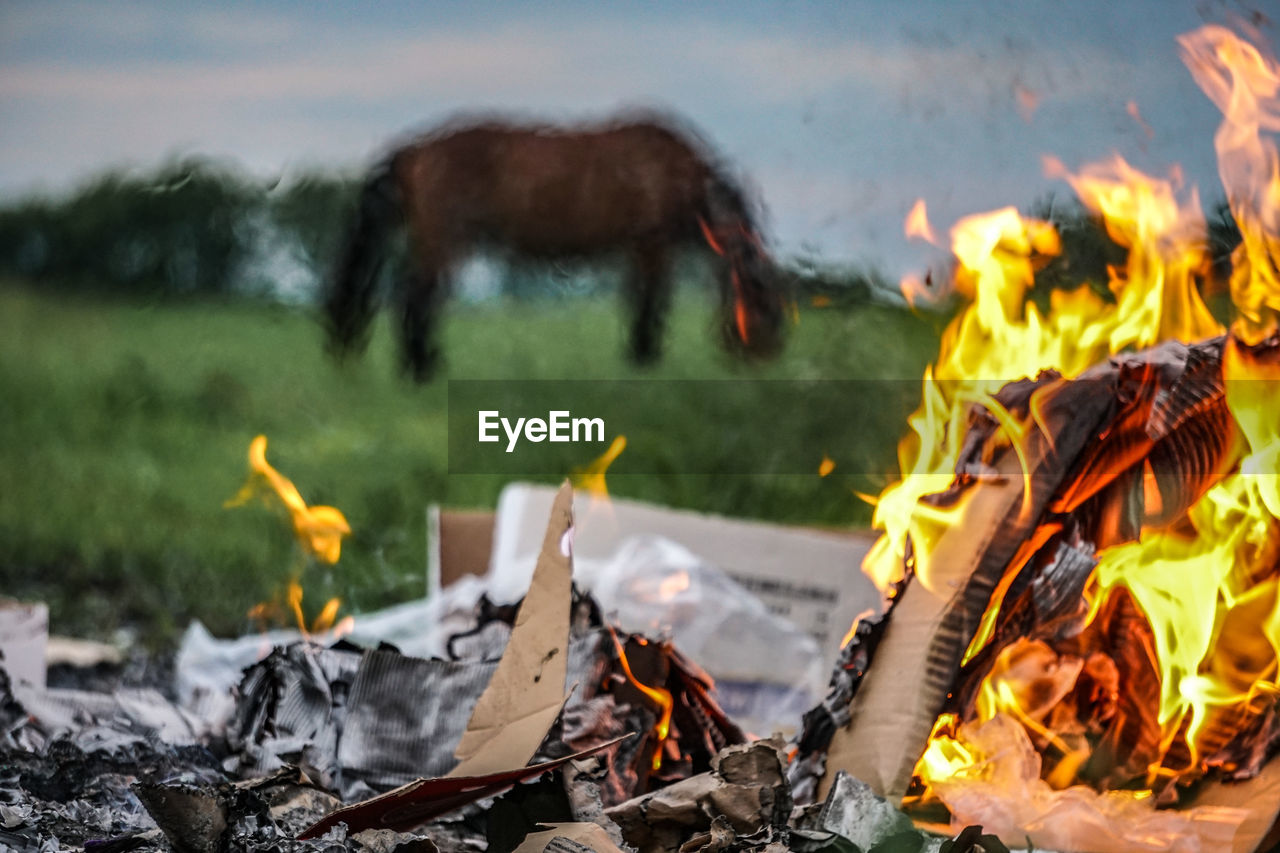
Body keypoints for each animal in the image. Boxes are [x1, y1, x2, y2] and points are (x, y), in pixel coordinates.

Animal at [322, 110, 778, 379]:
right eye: (759, 293)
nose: (764, 354)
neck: (674, 172)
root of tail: (414, 152)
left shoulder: (638, 251)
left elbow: (638, 302)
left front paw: (636, 357)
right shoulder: (653, 247)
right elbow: (652, 304)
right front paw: (645, 359)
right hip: (442, 243)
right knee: (416, 299)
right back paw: (422, 368)